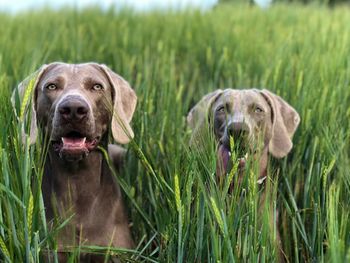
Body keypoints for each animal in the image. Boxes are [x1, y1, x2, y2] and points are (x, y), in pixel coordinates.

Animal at [12, 62, 135, 262]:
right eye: (51, 86)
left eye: (97, 86)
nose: (73, 109)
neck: (77, 180)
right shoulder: (52, 252)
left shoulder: (116, 252)